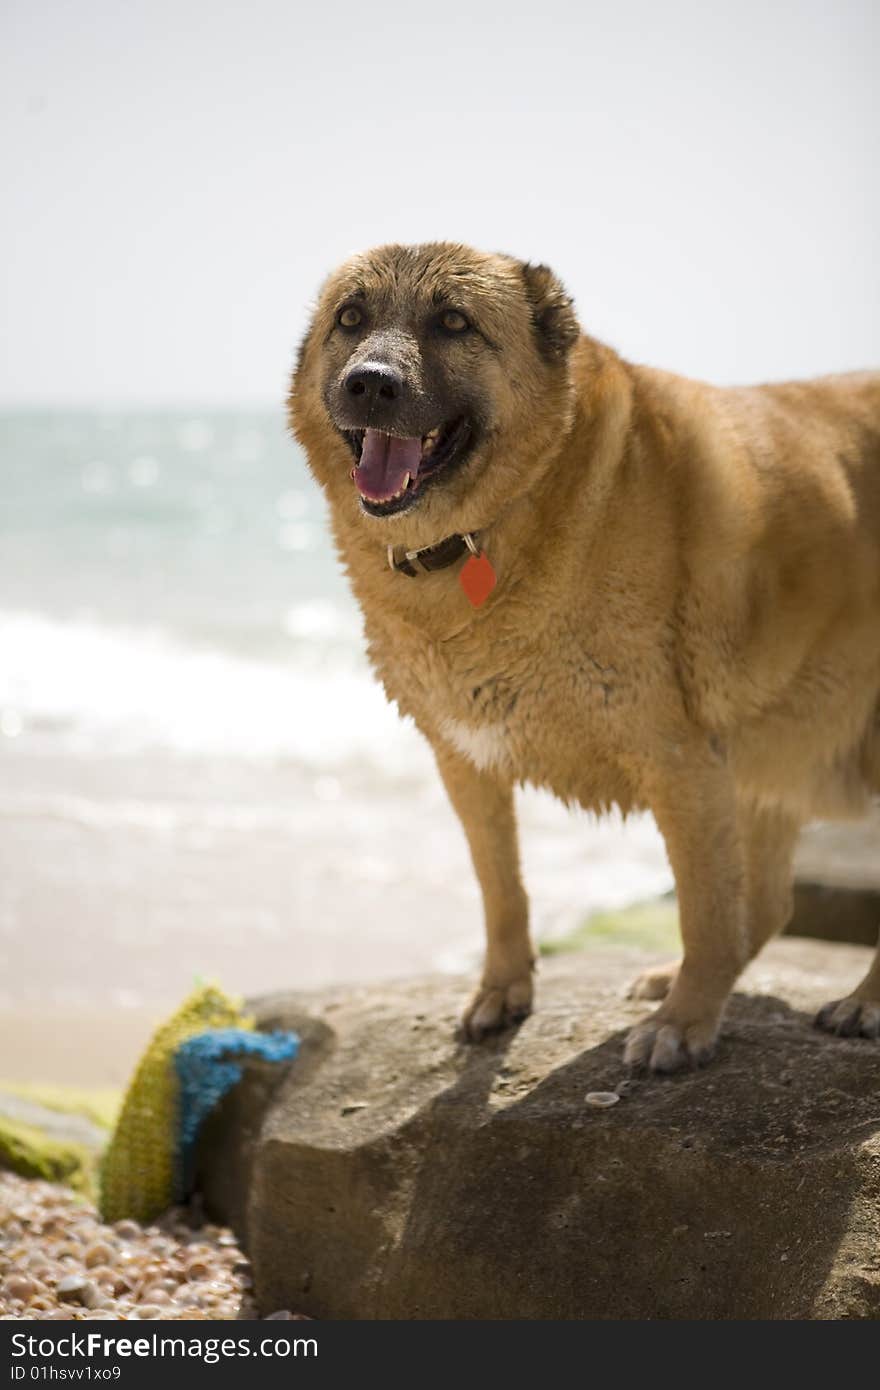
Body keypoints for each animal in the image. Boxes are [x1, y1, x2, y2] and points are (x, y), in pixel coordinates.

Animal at [290, 239, 878, 1067]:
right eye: (350, 318)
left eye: (454, 322)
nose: (369, 383)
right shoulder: (466, 761)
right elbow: (501, 889)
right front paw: (503, 993)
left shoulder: (680, 760)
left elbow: (702, 905)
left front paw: (684, 1023)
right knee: (767, 903)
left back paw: (859, 1002)